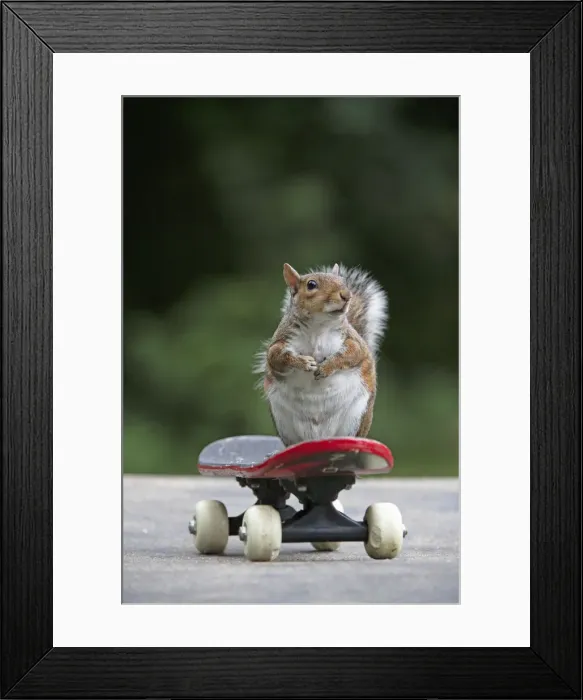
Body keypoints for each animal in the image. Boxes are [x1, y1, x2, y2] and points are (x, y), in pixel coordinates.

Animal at [254, 262, 388, 447]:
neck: (318, 326)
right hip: (283, 422)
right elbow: (277, 358)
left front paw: (326, 367)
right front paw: (304, 362)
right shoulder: (280, 342)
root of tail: (319, 438)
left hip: (356, 417)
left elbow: (351, 355)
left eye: (343, 281)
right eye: (311, 285)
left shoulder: (353, 341)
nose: (347, 295)